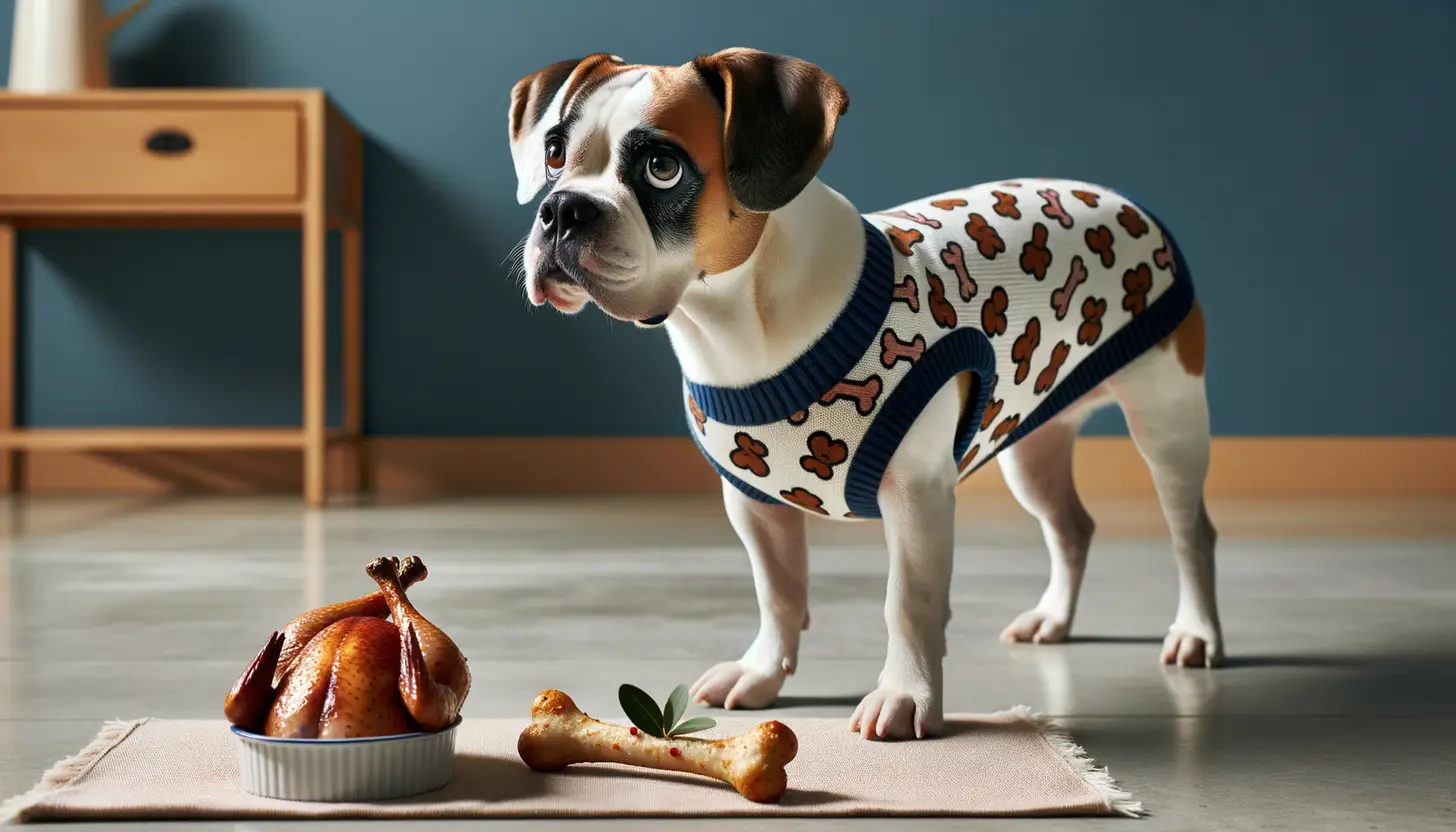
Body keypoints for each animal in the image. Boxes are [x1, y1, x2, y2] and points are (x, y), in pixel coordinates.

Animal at [506, 50, 1223, 743]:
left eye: (662, 167)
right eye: (554, 154)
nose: (563, 208)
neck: (736, 325)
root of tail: (1122, 199)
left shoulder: (917, 496)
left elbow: (908, 602)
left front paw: (907, 698)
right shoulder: (753, 506)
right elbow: (777, 592)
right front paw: (763, 672)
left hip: (1168, 422)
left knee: (1191, 532)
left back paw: (1196, 632)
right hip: (1031, 445)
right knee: (1071, 527)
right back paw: (1053, 619)